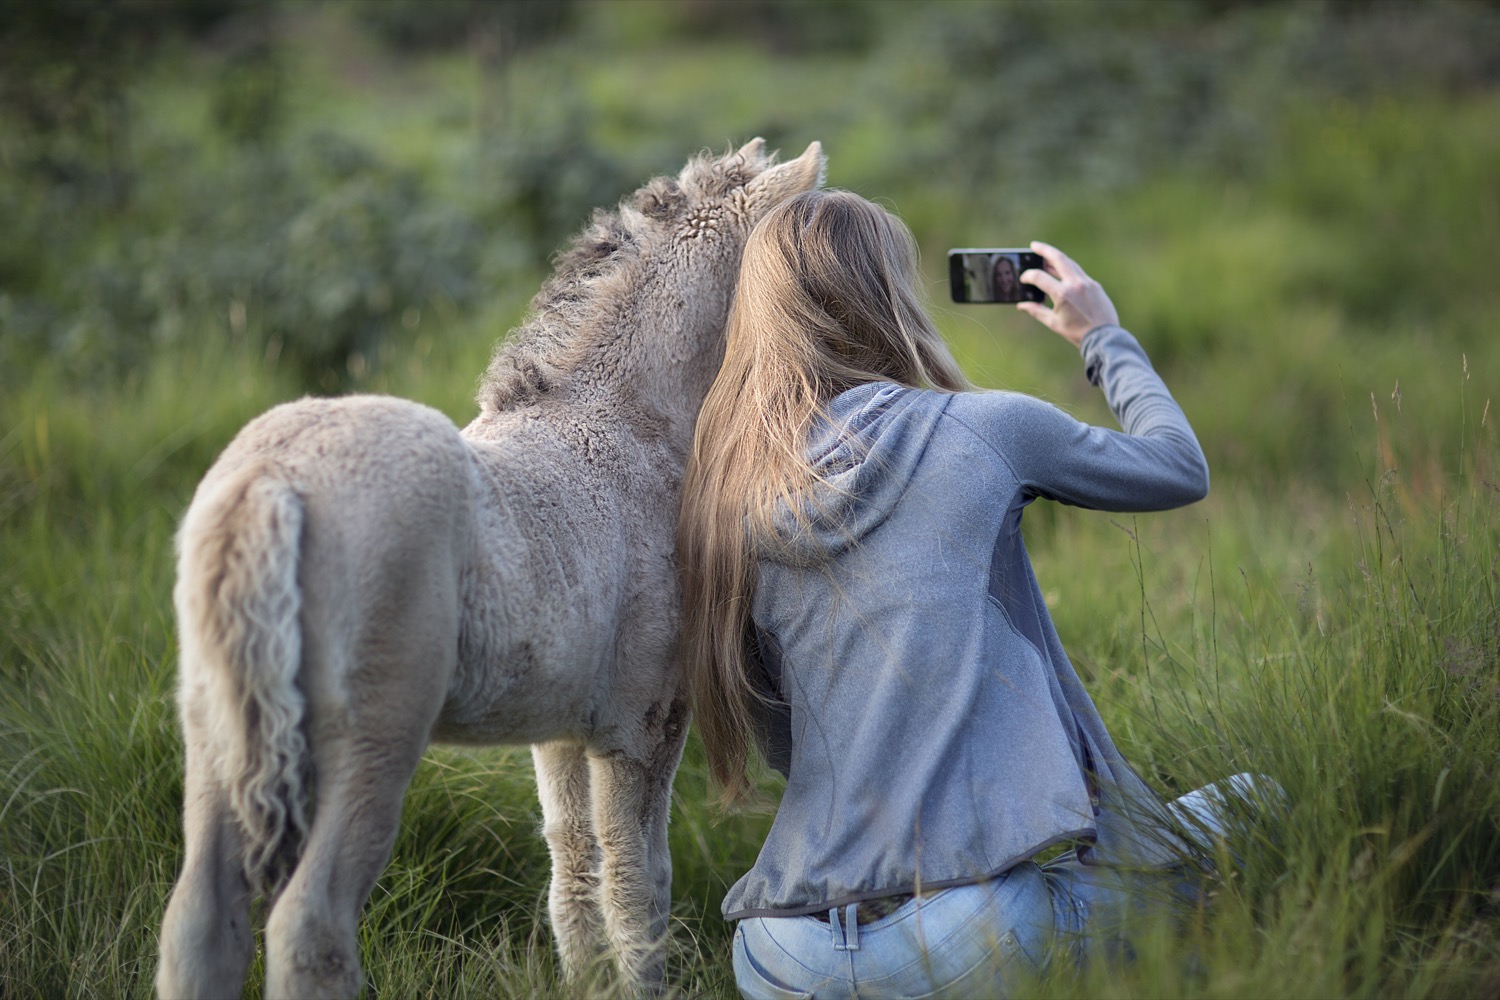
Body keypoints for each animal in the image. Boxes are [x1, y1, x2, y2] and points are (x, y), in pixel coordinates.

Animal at [158, 137, 828, 995]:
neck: (629, 426)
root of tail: (273, 477)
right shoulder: (643, 723)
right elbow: (638, 880)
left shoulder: (563, 728)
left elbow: (574, 862)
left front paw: (583, 982)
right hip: (370, 745)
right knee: (309, 923)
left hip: (217, 728)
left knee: (198, 917)